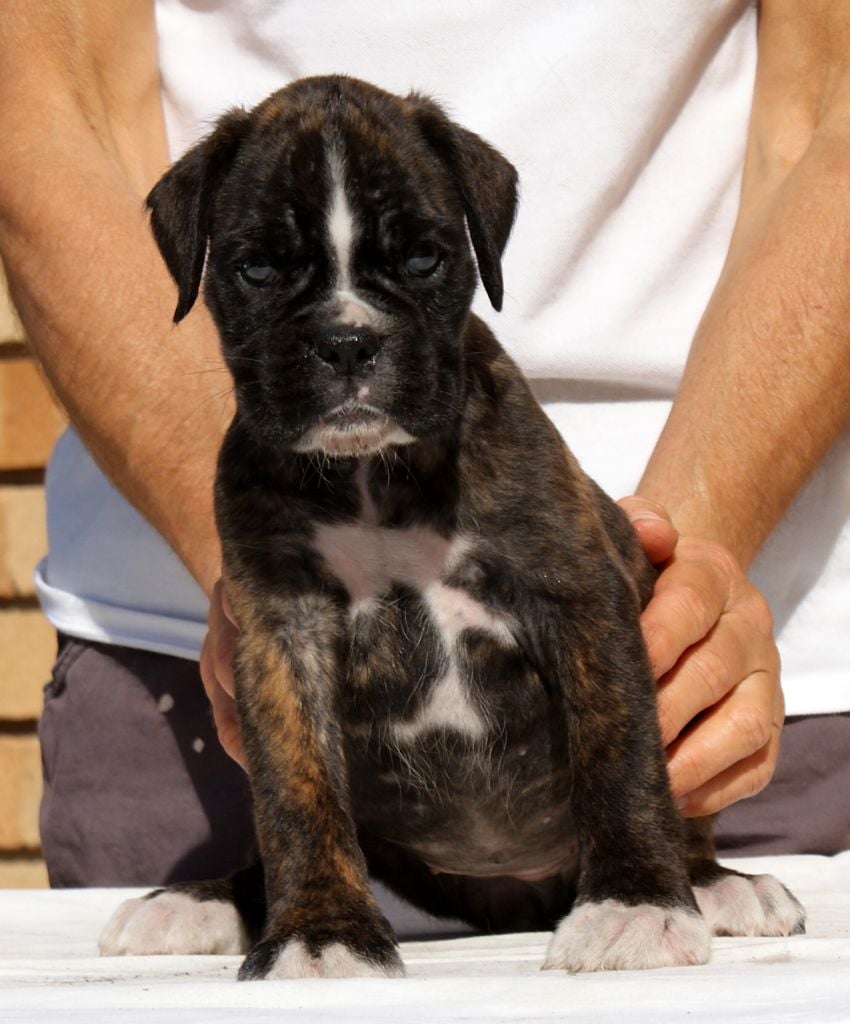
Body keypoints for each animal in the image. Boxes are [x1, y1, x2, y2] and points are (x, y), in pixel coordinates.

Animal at [99, 75, 804, 978]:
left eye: (423, 259)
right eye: (256, 269)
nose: (347, 341)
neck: (373, 476)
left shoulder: (580, 596)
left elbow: (620, 754)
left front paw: (636, 906)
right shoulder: (280, 637)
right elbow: (295, 791)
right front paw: (319, 929)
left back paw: (715, 886)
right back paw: (203, 901)